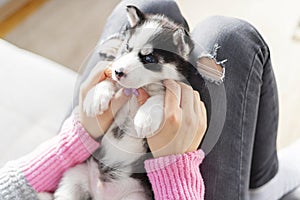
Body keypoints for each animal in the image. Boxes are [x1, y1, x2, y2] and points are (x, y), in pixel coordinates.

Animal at [52, 5, 196, 200]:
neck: (138, 90)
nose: (118, 71)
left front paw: (146, 117)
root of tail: (101, 195)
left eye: (149, 59)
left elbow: (160, 97)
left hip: (135, 195)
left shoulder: (177, 88)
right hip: (74, 176)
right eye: (127, 47)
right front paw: (96, 97)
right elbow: (109, 82)